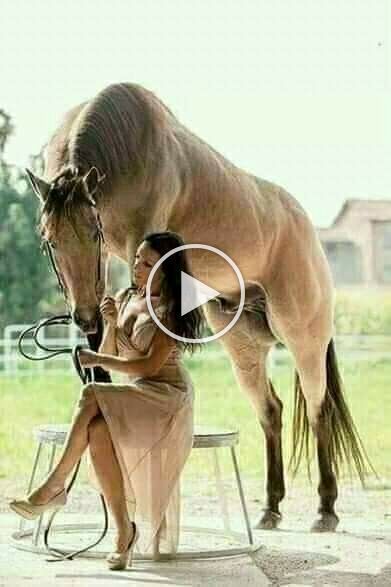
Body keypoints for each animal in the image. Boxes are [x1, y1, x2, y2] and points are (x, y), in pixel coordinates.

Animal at [26, 82, 372, 532]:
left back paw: (325, 510)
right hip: (243, 345)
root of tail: (305, 225)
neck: (128, 151)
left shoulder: (139, 243)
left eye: (95, 232)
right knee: (271, 411)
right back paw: (270, 508)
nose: (81, 313)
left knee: (318, 408)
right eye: (49, 240)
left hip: (304, 337)